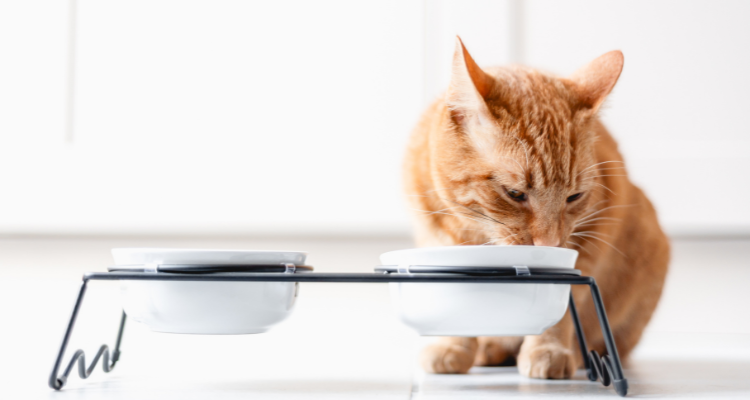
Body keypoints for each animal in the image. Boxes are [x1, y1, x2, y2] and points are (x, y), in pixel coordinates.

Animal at [408, 37, 672, 378]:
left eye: (574, 197)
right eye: (514, 193)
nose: (550, 242)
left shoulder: (586, 245)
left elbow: (560, 308)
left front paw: (550, 350)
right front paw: (453, 346)